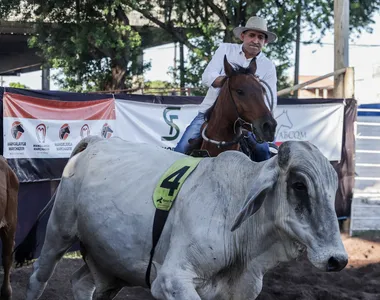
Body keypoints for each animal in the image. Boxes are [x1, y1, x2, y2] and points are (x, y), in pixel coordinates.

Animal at [20, 137, 348, 300]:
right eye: (299, 184)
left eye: (333, 187)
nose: (338, 259)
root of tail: (96, 142)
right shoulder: (170, 281)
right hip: (59, 232)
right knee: (37, 278)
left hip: (110, 262)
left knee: (82, 284)